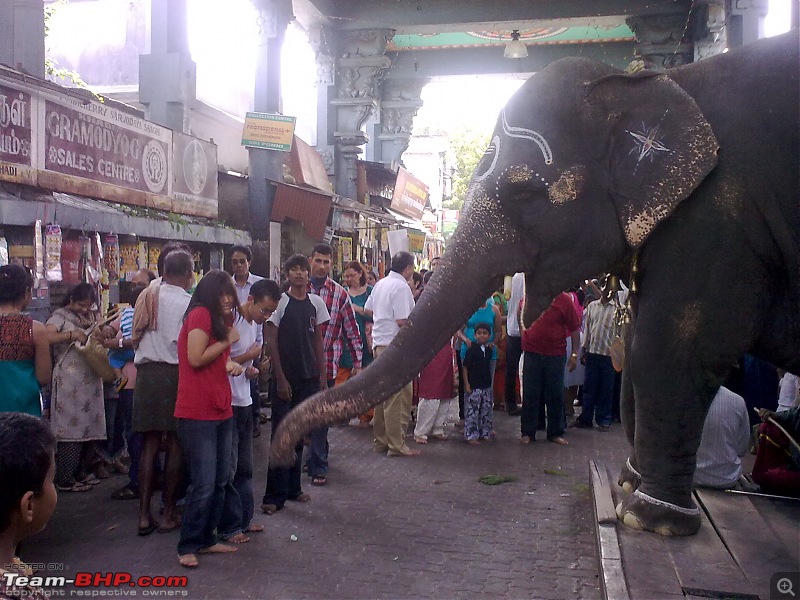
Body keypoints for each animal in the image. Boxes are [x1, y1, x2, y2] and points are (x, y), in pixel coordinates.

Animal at [270, 28, 800, 536]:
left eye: (524, 192)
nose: (281, 453)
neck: (654, 83)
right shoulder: (720, 218)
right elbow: (662, 346)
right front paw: (642, 501)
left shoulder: (718, 215)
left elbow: (670, 346)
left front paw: (644, 511)